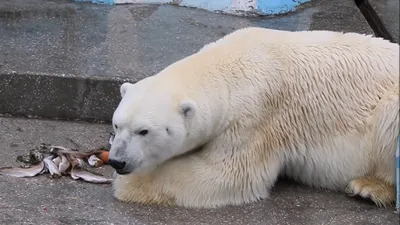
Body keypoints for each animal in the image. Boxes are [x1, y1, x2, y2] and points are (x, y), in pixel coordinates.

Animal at [108, 27, 398, 208]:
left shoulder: (255, 117)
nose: (117, 161)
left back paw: (369, 187)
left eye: (144, 131)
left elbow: (230, 174)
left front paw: (127, 185)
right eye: (116, 125)